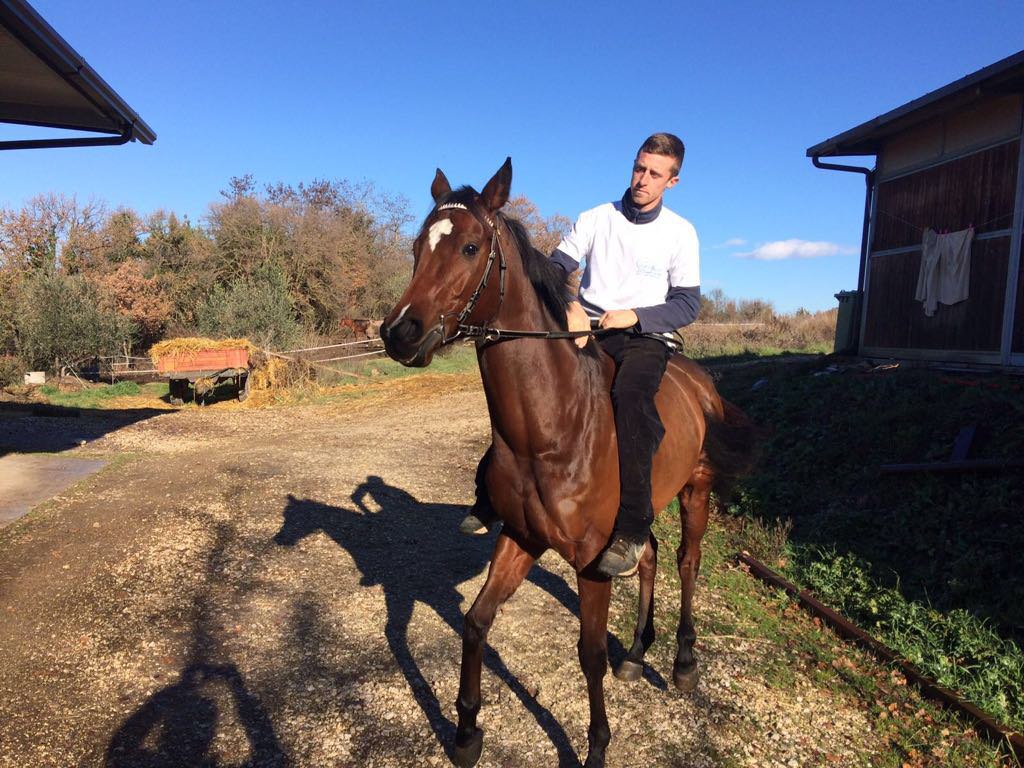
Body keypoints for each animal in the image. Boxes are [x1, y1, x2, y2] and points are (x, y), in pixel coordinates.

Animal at [380, 159, 757, 765]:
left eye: (469, 246)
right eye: (418, 246)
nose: (399, 333)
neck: (554, 429)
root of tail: (701, 381)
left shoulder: (589, 564)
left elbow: (589, 654)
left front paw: (597, 746)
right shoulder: (521, 537)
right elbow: (475, 623)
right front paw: (466, 733)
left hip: (695, 490)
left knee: (686, 561)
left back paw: (682, 662)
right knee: (648, 555)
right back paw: (637, 652)